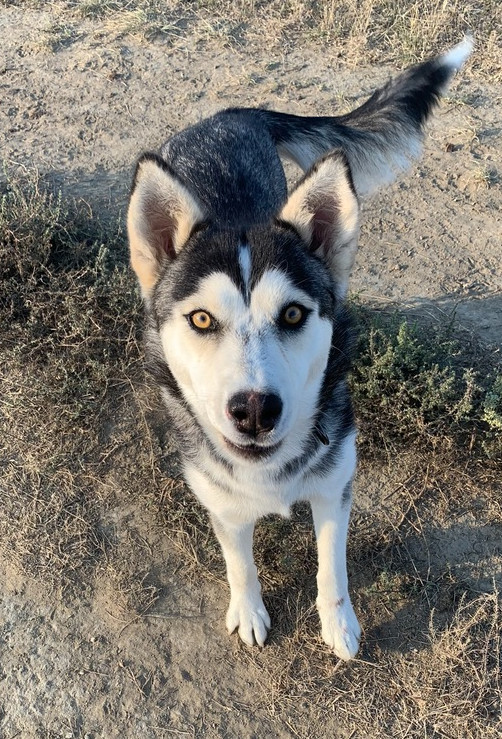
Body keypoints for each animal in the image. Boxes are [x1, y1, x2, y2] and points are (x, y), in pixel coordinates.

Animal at [127, 37, 472, 660]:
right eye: (201, 318)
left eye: (292, 314)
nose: (254, 410)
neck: (270, 472)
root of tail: (227, 115)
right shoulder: (222, 503)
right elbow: (239, 563)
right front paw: (249, 610)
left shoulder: (336, 484)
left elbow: (332, 566)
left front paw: (339, 624)